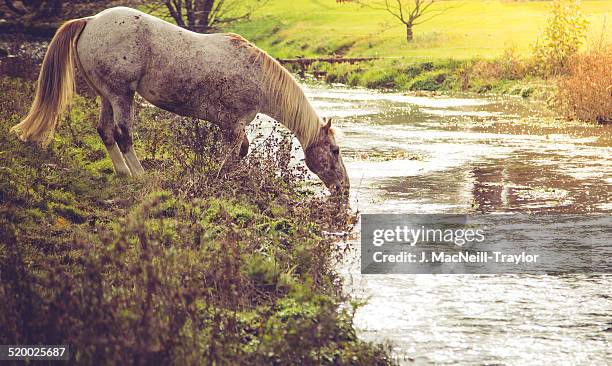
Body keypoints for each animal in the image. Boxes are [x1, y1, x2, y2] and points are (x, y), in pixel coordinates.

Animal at [13, 7, 350, 193]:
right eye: (334, 151)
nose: (343, 189)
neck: (257, 76)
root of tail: (90, 19)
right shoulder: (231, 124)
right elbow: (236, 153)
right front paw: (222, 179)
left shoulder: (231, 126)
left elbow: (239, 152)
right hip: (122, 95)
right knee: (123, 134)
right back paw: (140, 175)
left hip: (107, 95)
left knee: (105, 131)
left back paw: (122, 173)